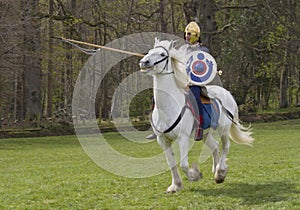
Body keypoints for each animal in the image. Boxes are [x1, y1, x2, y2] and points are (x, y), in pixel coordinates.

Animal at [139, 38, 254, 193]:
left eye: (162, 54)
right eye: (150, 52)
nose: (144, 62)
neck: (168, 108)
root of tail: (226, 93)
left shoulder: (183, 138)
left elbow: (183, 165)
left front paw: (195, 175)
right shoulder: (163, 140)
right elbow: (171, 163)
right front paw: (175, 185)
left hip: (223, 130)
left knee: (226, 146)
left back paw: (220, 173)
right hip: (205, 133)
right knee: (215, 146)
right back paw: (216, 170)